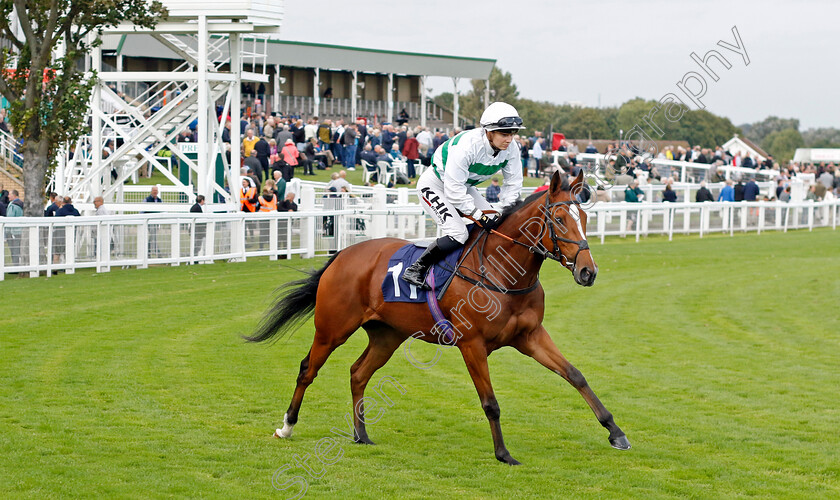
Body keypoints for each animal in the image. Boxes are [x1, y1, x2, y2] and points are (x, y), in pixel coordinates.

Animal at [248, 172, 632, 464]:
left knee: (358, 373)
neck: (501, 271)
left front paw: (616, 433)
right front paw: (503, 453)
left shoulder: (531, 336)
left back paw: (361, 434)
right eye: (559, 220)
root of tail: (343, 254)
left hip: (387, 335)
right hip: (332, 329)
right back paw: (287, 427)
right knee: (307, 369)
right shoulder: (472, 344)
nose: (588, 272)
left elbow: (575, 375)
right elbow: (491, 403)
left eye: (585, 219)